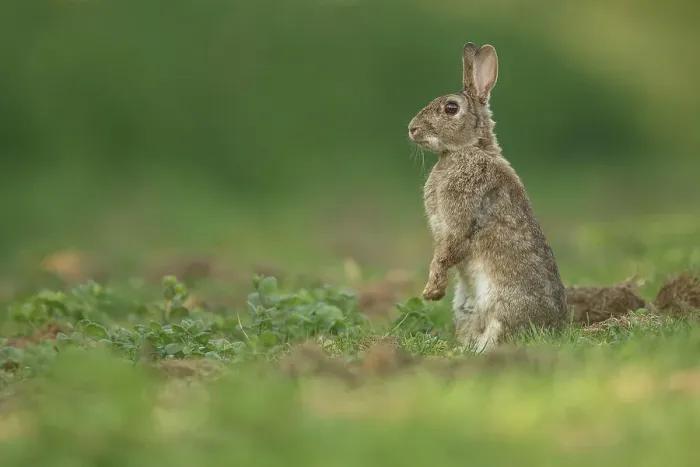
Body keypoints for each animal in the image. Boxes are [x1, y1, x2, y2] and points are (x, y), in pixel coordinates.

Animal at [407, 42, 568, 353]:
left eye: (451, 108)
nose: (411, 129)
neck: (468, 149)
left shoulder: (460, 218)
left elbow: (447, 252)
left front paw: (432, 291)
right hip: (465, 308)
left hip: (502, 304)